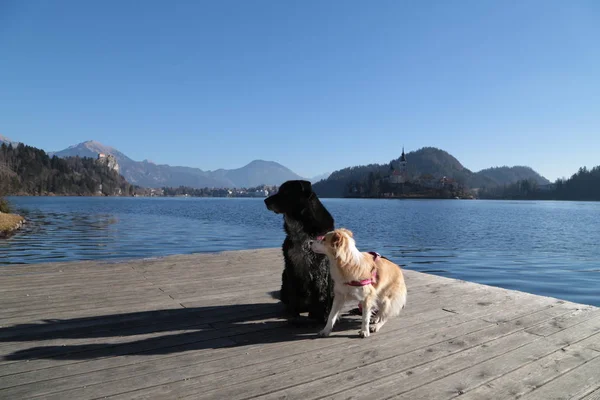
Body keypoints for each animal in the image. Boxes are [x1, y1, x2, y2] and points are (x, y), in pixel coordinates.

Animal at [264, 180, 336, 324]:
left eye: (285, 192)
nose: (265, 201)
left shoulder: (320, 265)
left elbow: (319, 291)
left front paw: (320, 315)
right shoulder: (291, 264)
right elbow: (293, 294)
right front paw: (294, 316)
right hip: (284, 278)